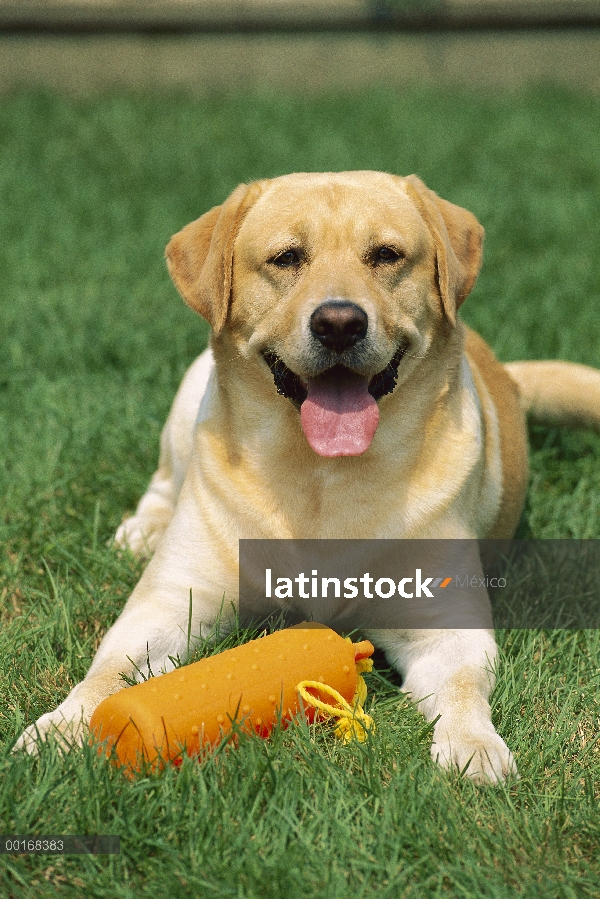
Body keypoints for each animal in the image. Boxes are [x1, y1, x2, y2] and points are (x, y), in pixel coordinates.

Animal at [16, 172, 600, 784]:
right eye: (286, 258)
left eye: (386, 255)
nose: (339, 323)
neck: (320, 476)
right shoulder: (172, 600)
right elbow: (109, 670)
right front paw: (62, 726)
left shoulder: (443, 624)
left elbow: (464, 687)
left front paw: (473, 747)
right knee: (163, 480)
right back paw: (143, 529)